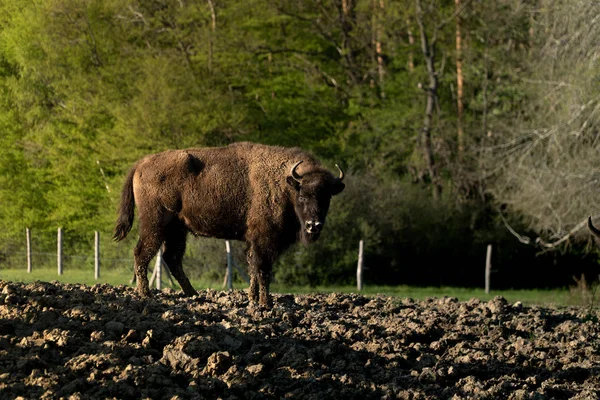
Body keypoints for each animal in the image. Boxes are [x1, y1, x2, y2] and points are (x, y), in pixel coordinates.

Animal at [114, 143, 344, 306]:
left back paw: (194, 294)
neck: (286, 184)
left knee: (172, 258)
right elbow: (263, 269)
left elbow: (253, 269)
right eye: (303, 195)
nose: (314, 225)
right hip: (155, 224)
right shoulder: (265, 239)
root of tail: (141, 163)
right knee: (142, 253)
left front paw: (252, 299)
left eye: (326, 197)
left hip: (177, 229)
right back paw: (146, 294)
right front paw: (265, 303)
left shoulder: (254, 241)